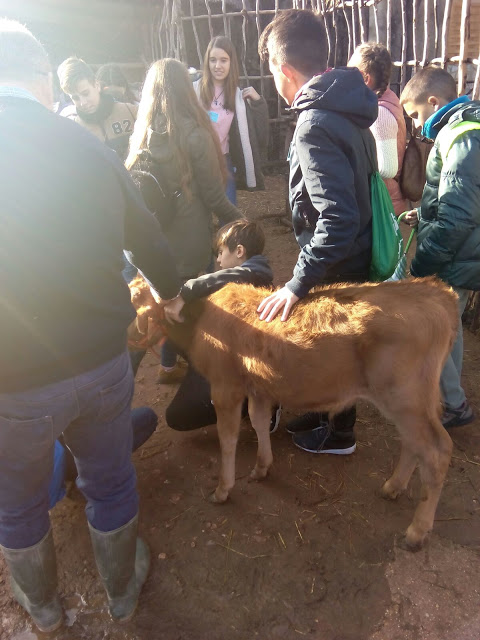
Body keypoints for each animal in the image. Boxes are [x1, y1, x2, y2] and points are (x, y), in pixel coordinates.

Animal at [130, 276, 458, 552]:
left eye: (133, 300)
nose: (130, 335)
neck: (201, 318)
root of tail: (434, 290)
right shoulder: (258, 388)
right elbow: (259, 422)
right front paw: (262, 467)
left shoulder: (225, 387)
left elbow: (228, 439)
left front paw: (223, 489)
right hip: (409, 404)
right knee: (414, 445)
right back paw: (393, 487)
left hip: (405, 398)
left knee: (437, 451)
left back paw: (417, 531)